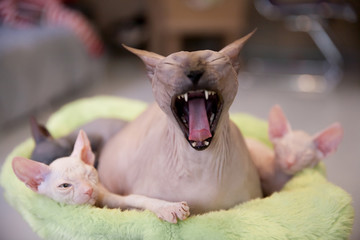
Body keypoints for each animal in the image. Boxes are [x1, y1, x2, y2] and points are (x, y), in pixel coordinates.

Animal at [12, 129, 190, 223]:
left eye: (89, 174)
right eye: (65, 186)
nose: (89, 190)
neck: (96, 204)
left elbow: (136, 198)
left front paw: (168, 207)